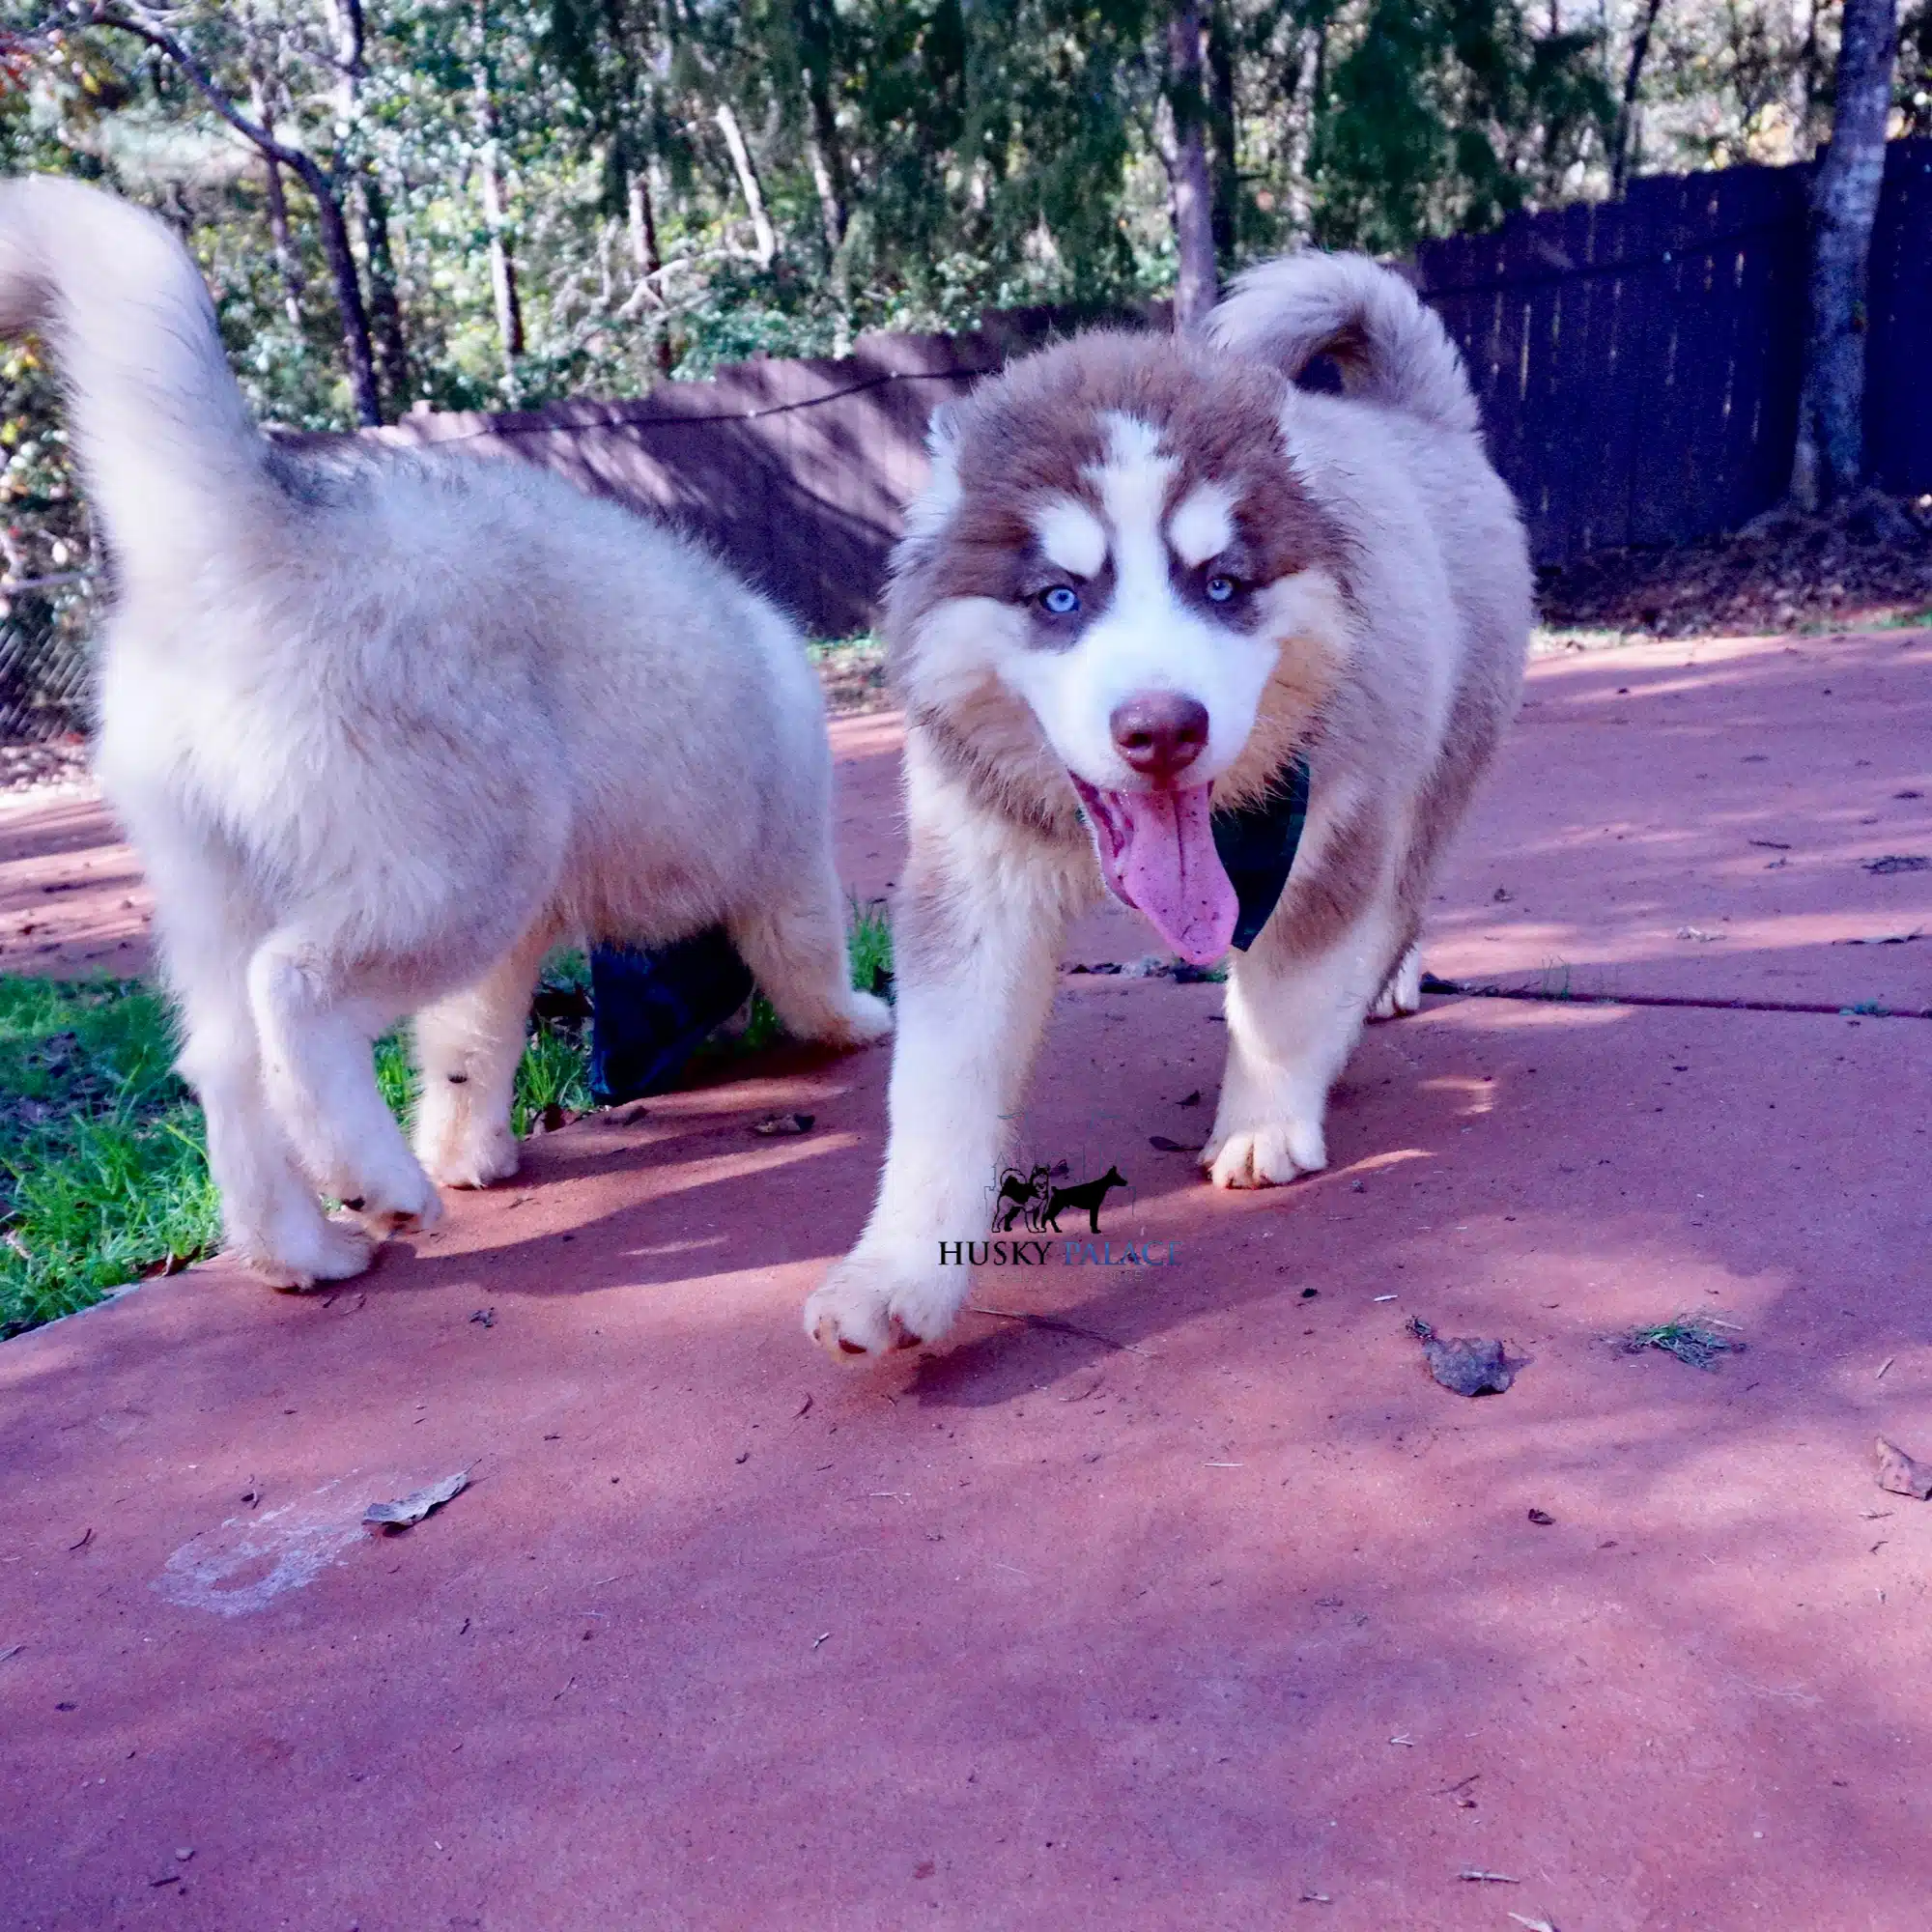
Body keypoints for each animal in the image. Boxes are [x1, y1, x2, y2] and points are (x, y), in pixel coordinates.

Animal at [0, 178, 885, 1283]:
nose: (615, 1078)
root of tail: (260, 534)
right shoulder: (785, 858)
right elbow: (811, 962)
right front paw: (857, 1022)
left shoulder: (515, 949)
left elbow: (469, 1051)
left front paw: (469, 1153)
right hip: (462, 870)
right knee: (293, 990)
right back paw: (376, 1177)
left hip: (226, 886)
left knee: (226, 1063)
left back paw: (302, 1250)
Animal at [808, 253, 1530, 1360]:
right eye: (1060, 597)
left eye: (1221, 583)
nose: (1163, 729)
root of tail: (1413, 420)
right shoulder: (973, 867)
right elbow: (941, 1077)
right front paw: (897, 1267)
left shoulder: (1336, 828)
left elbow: (1285, 990)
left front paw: (1265, 1119)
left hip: (1440, 757)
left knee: (1401, 895)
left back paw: (1378, 988)